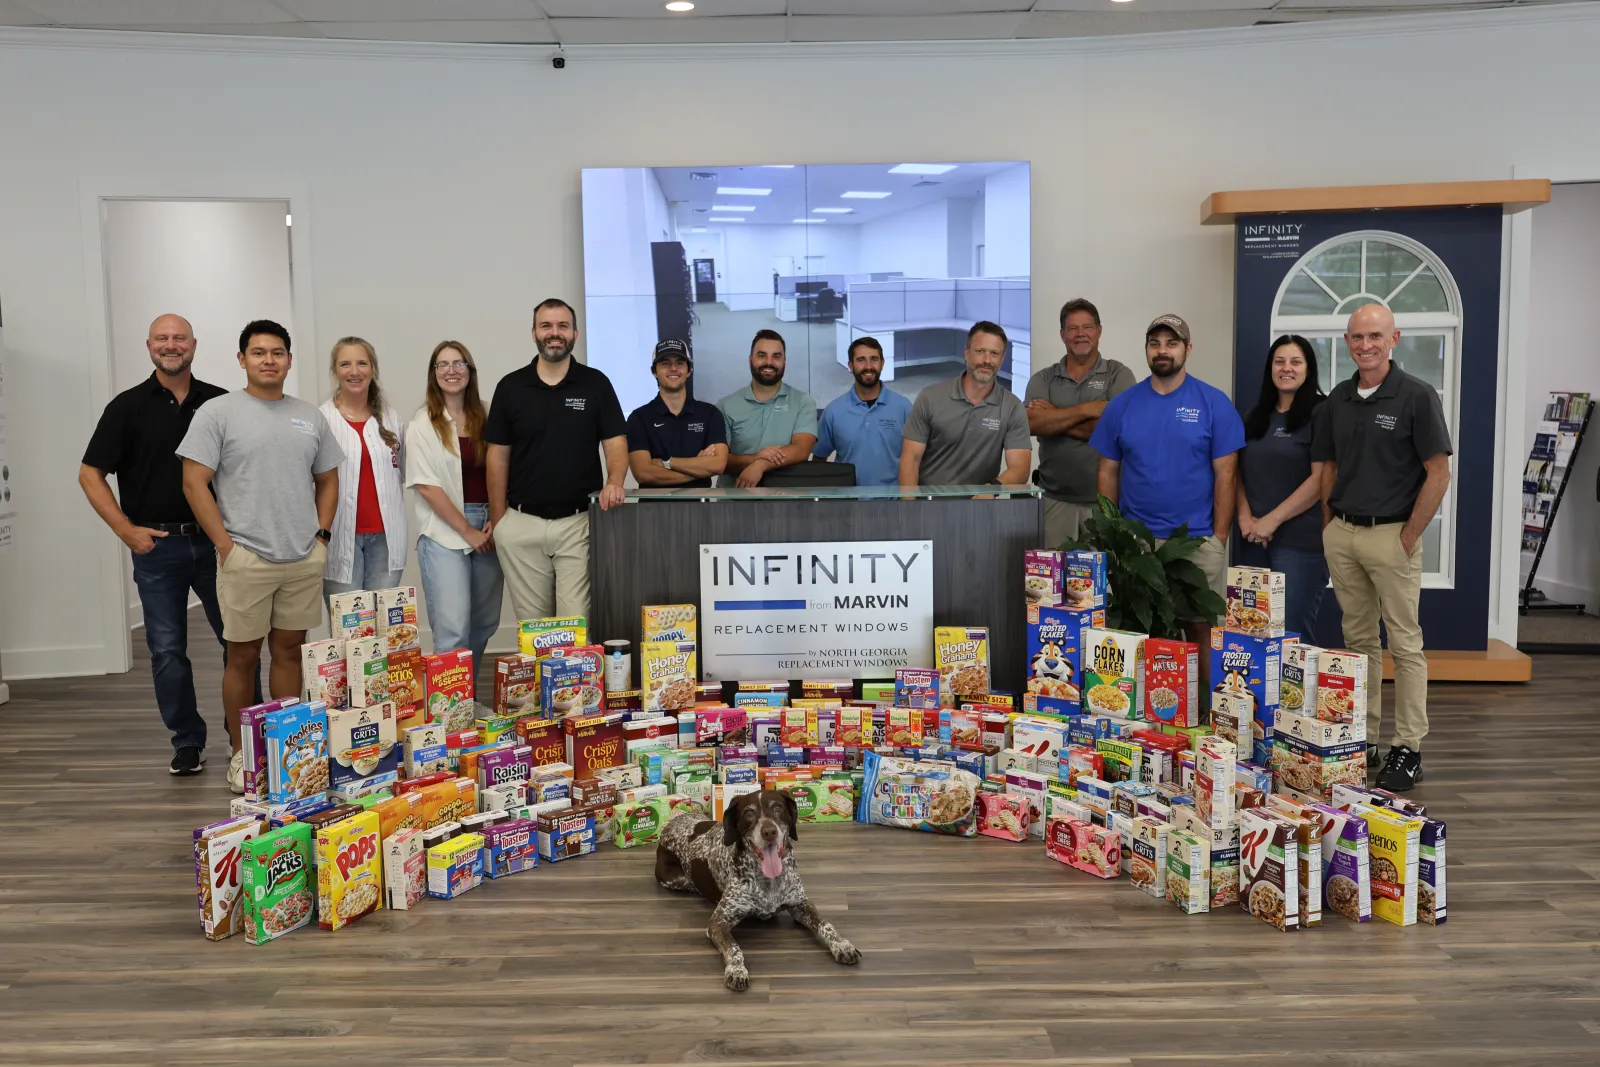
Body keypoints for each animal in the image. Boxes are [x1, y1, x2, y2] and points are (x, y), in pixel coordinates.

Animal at [656, 793, 864, 991]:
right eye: (749, 812)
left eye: (777, 807)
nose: (769, 832)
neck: (768, 879)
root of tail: (671, 823)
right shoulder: (718, 922)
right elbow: (734, 947)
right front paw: (737, 970)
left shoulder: (800, 904)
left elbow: (825, 924)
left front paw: (841, 944)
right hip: (677, 880)